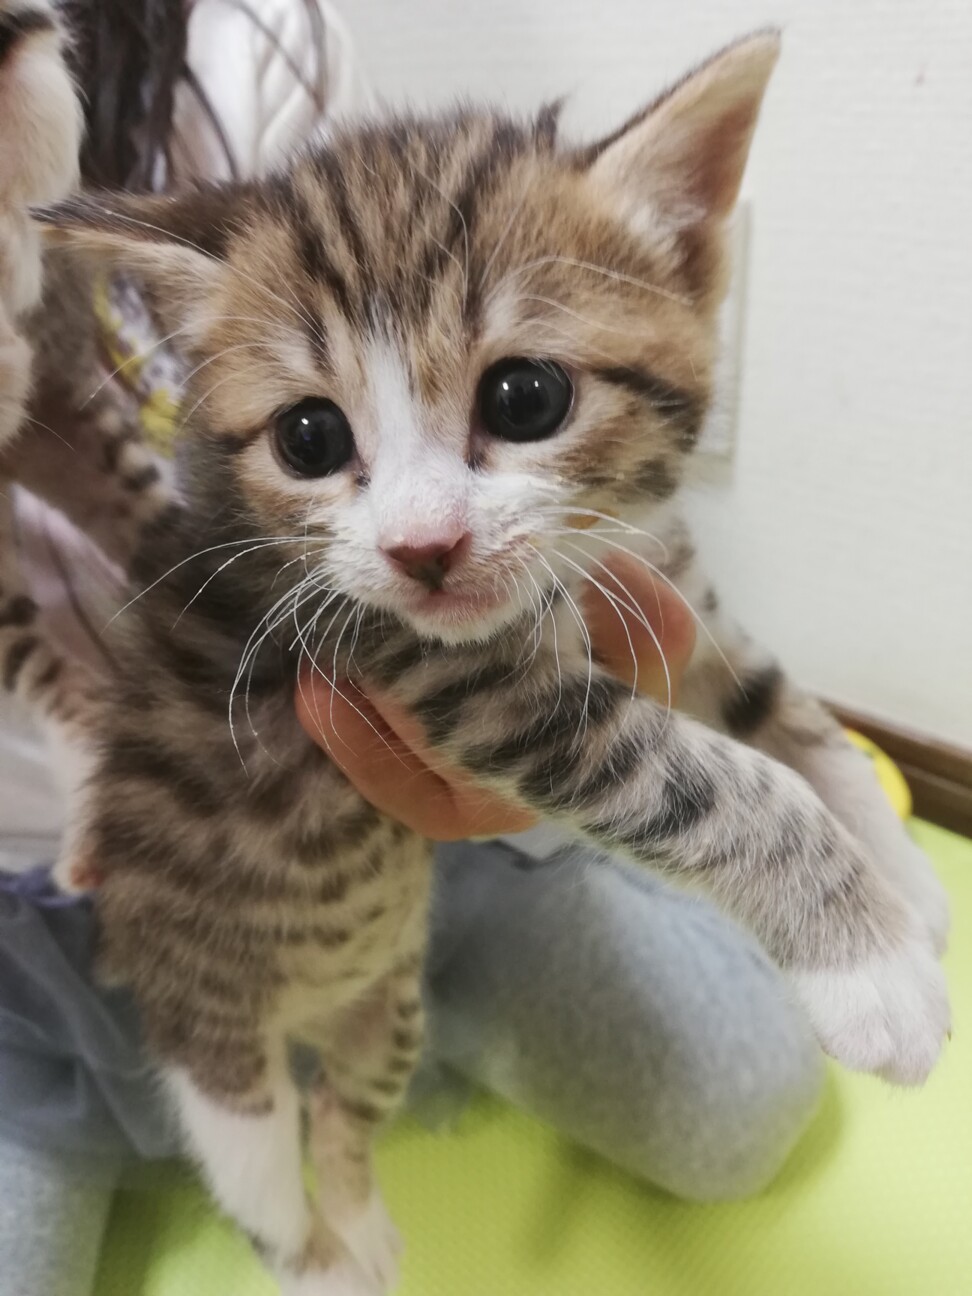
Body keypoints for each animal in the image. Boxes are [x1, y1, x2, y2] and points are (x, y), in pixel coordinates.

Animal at [2, 16, 951, 1295]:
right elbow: (724, 779)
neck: (584, 558)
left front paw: (903, 877)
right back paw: (306, 1247)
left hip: (382, 1014)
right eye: (310, 435)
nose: (423, 550)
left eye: (526, 395)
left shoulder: (666, 580)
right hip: (200, 984)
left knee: (344, 1108)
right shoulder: (437, 671)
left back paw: (360, 1226)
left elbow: (783, 709)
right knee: (238, 1117)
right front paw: (870, 964)